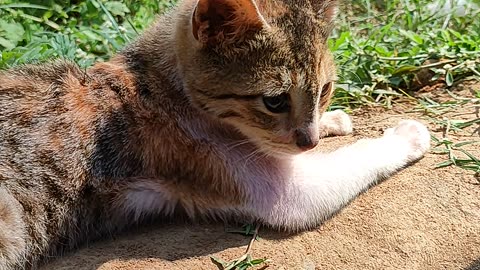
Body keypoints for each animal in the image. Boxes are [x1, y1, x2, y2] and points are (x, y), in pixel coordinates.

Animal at [0, 0, 428, 268]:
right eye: (274, 101)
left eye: (325, 89)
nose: (309, 141)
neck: (154, 80)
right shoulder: (288, 194)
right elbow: (353, 158)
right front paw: (405, 136)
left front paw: (332, 120)